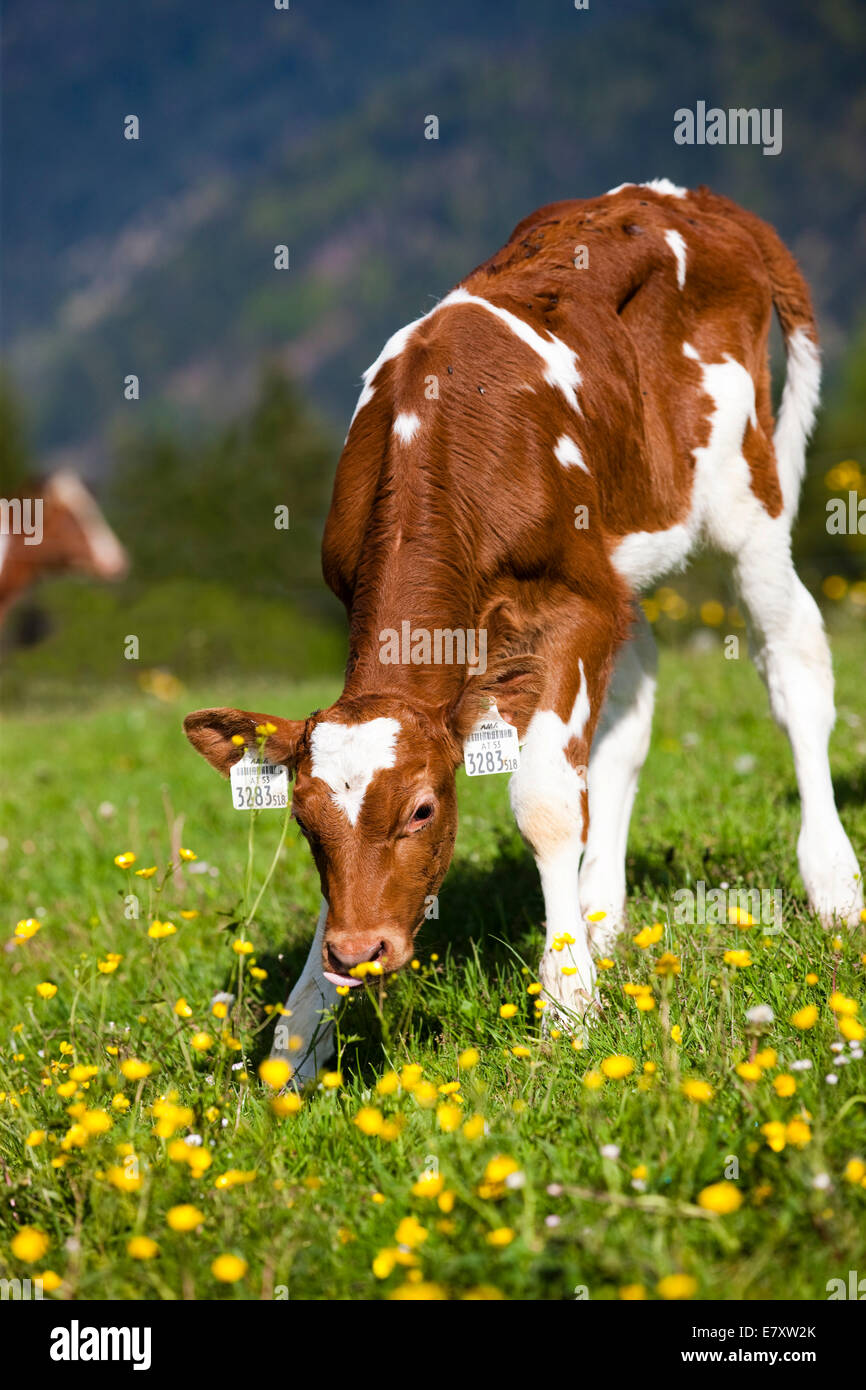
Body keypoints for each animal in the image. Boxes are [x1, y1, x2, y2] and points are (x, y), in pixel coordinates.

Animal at [183, 179, 861, 1078]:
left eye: (424, 810)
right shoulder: (582, 599)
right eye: (301, 819)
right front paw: (298, 1039)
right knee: (631, 711)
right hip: (626, 565)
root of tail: (691, 199)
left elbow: (545, 801)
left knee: (795, 670)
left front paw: (569, 1006)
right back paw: (602, 917)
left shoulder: (572, 606)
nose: (361, 953)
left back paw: (833, 885)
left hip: (745, 504)